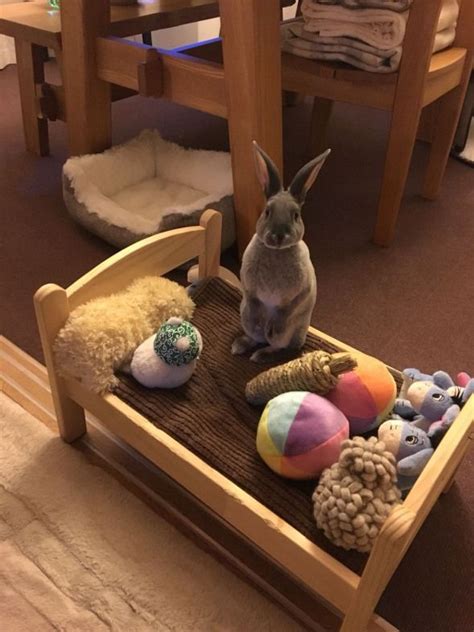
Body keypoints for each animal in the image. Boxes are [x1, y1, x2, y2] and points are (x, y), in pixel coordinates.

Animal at [232, 141, 330, 362]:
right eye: (267, 212)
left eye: (296, 215)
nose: (278, 236)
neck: (276, 252)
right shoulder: (249, 288)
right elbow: (253, 301)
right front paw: (257, 321)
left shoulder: (302, 290)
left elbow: (287, 309)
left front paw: (274, 325)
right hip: (243, 317)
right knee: (255, 336)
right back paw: (241, 345)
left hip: (291, 334)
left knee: (278, 345)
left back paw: (261, 355)